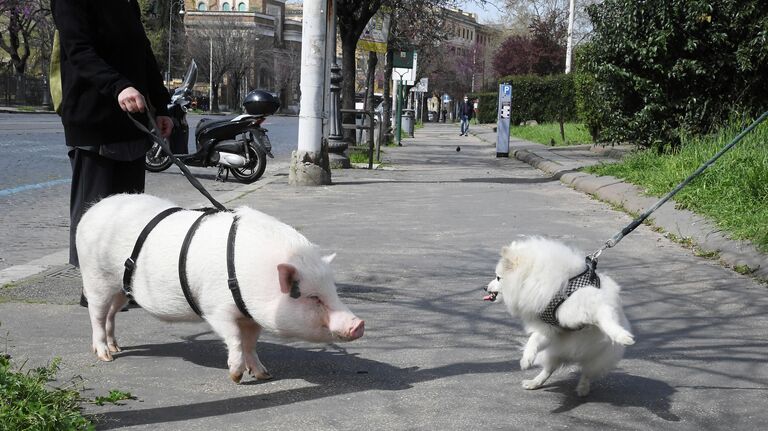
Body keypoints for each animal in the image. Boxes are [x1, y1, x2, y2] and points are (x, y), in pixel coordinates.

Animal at [76, 194, 364, 384]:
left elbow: (251, 343)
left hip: (120, 289)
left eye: (333, 291)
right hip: (95, 277)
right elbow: (234, 338)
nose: (359, 324)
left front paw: (264, 374)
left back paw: (116, 348)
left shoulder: (251, 313)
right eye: (312, 297)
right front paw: (236, 377)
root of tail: (92, 210)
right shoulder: (216, 309)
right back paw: (105, 356)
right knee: (96, 314)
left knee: (111, 314)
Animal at [486, 238, 636, 396]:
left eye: (498, 278)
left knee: (587, 373)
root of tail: (573, 356)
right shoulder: (549, 329)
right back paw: (534, 383)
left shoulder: (593, 303)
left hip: (598, 359)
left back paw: (583, 388)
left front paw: (622, 336)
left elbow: (606, 320)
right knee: (549, 369)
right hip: (551, 354)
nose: (485, 287)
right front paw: (526, 359)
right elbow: (533, 340)